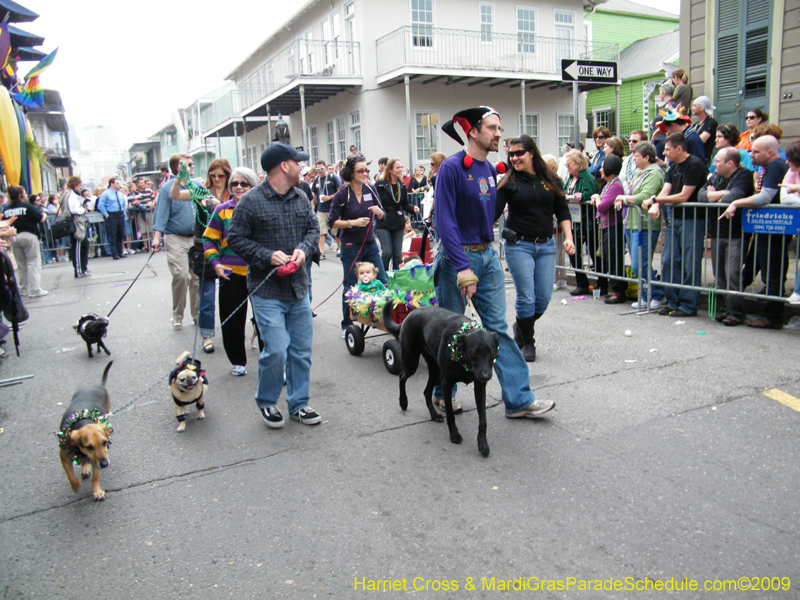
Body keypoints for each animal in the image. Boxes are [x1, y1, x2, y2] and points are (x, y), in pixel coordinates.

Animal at [58, 360, 115, 502]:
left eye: (104, 442)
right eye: (89, 446)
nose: (105, 464)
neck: (82, 421)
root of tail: (98, 385)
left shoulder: (97, 460)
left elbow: (96, 477)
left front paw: (97, 491)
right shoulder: (63, 455)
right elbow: (71, 476)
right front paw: (76, 486)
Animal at [382, 302, 500, 458]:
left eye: (491, 351)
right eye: (474, 352)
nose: (486, 376)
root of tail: (409, 315)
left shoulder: (480, 387)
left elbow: (483, 420)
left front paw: (483, 444)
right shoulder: (447, 384)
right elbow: (450, 414)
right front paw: (454, 434)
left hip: (435, 370)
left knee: (426, 392)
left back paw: (434, 415)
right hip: (411, 361)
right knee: (402, 377)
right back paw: (403, 401)